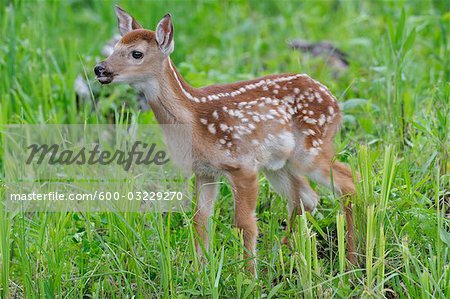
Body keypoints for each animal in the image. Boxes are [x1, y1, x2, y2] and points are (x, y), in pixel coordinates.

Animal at [96, 5, 358, 276]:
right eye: (115, 47)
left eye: (136, 53)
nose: (100, 69)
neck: (194, 119)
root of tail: (335, 103)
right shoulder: (204, 171)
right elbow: (200, 220)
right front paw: (200, 272)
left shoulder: (242, 166)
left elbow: (244, 223)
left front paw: (249, 277)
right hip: (279, 164)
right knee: (306, 197)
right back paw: (284, 257)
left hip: (310, 149)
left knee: (348, 183)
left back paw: (351, 262)